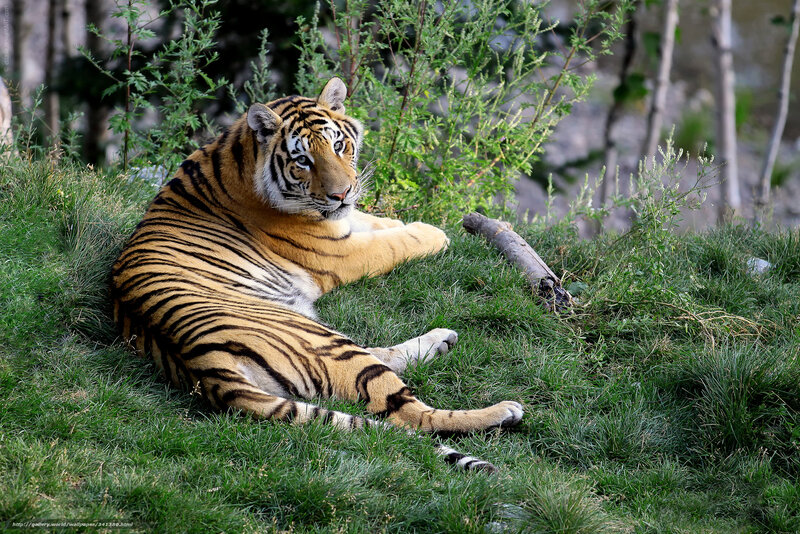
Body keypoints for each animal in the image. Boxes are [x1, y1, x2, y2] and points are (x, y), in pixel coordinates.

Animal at [110, 77, 523, 472]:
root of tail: (202, 366)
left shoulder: (343, 223)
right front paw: (434, 233)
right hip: (323, 341)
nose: (341, 194)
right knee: (410, 414)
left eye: (339, 146)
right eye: (303, 160)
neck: (239, 155)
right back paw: (503, 411)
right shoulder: (339, 252)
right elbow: (392, 244)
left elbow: (375, 221)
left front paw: (400, 221)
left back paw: (442, 340)